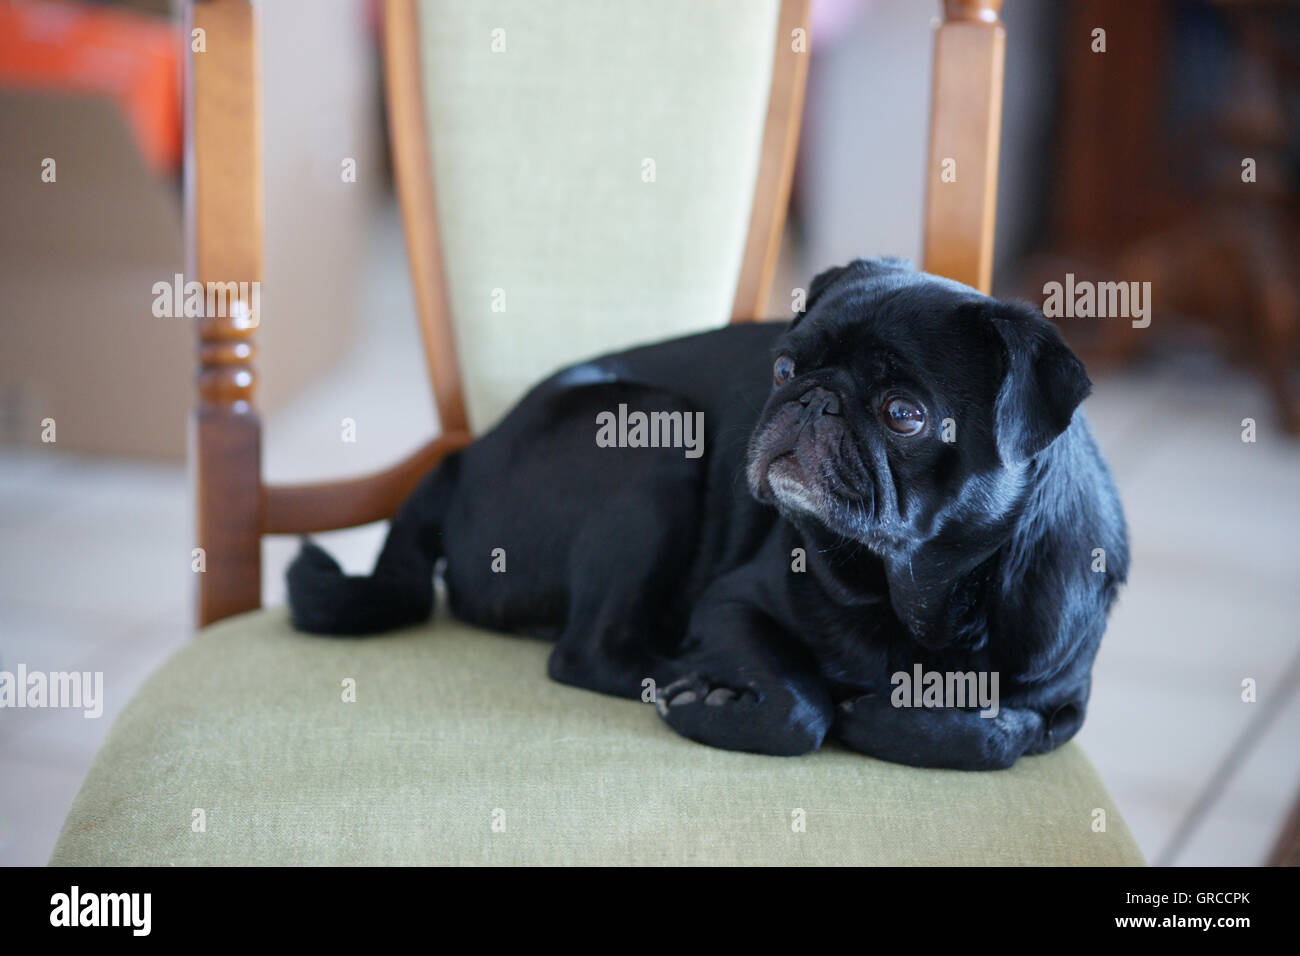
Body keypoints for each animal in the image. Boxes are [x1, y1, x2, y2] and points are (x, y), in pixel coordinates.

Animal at [287, 260, 1128, 770]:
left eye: (903, 414)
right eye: (784, 368)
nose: (811, 397)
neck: (908, 594)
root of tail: (463, 459)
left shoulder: (1065, 702)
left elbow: (1001, 736)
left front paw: (903, 719)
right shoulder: (732, 606)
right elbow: (801, 707)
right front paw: (732, 705)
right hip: (654, 438)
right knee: (587, 654)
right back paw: (686, 676)